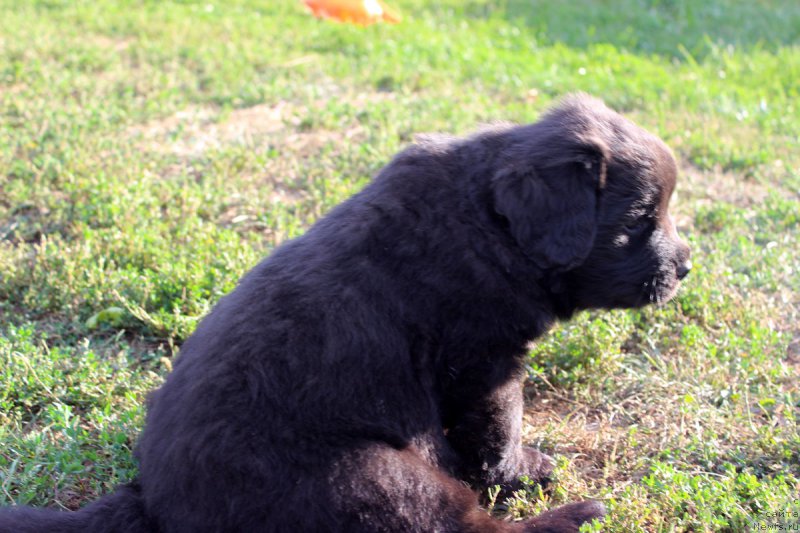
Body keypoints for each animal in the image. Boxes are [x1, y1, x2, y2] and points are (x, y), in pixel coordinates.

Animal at [0, 96, 688, 532]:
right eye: (636, 222)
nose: (686, 266)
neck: (488, 220)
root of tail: (150, 504)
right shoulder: (483, 360)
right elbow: (499, 429)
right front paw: (528, 471)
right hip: (378, 478)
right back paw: (578, 517)